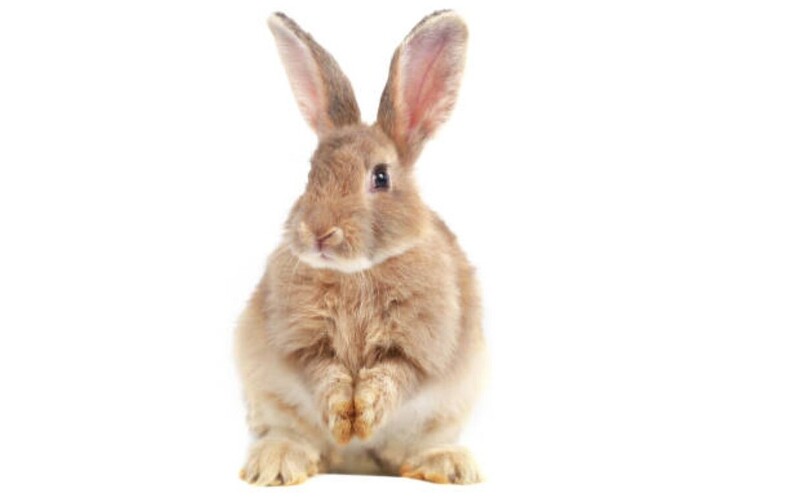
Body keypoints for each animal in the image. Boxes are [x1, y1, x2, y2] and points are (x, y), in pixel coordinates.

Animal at [235, 10, 487, 486]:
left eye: (381, 177)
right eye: (311, 174)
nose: (319, 232)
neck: (359, 272)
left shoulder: (422, 347)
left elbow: (396, 375)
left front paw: (364, 416)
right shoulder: (301, 341)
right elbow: (323, 372)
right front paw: (344, 418)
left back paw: (445, 465)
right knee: (292, 437)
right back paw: (276, 463)